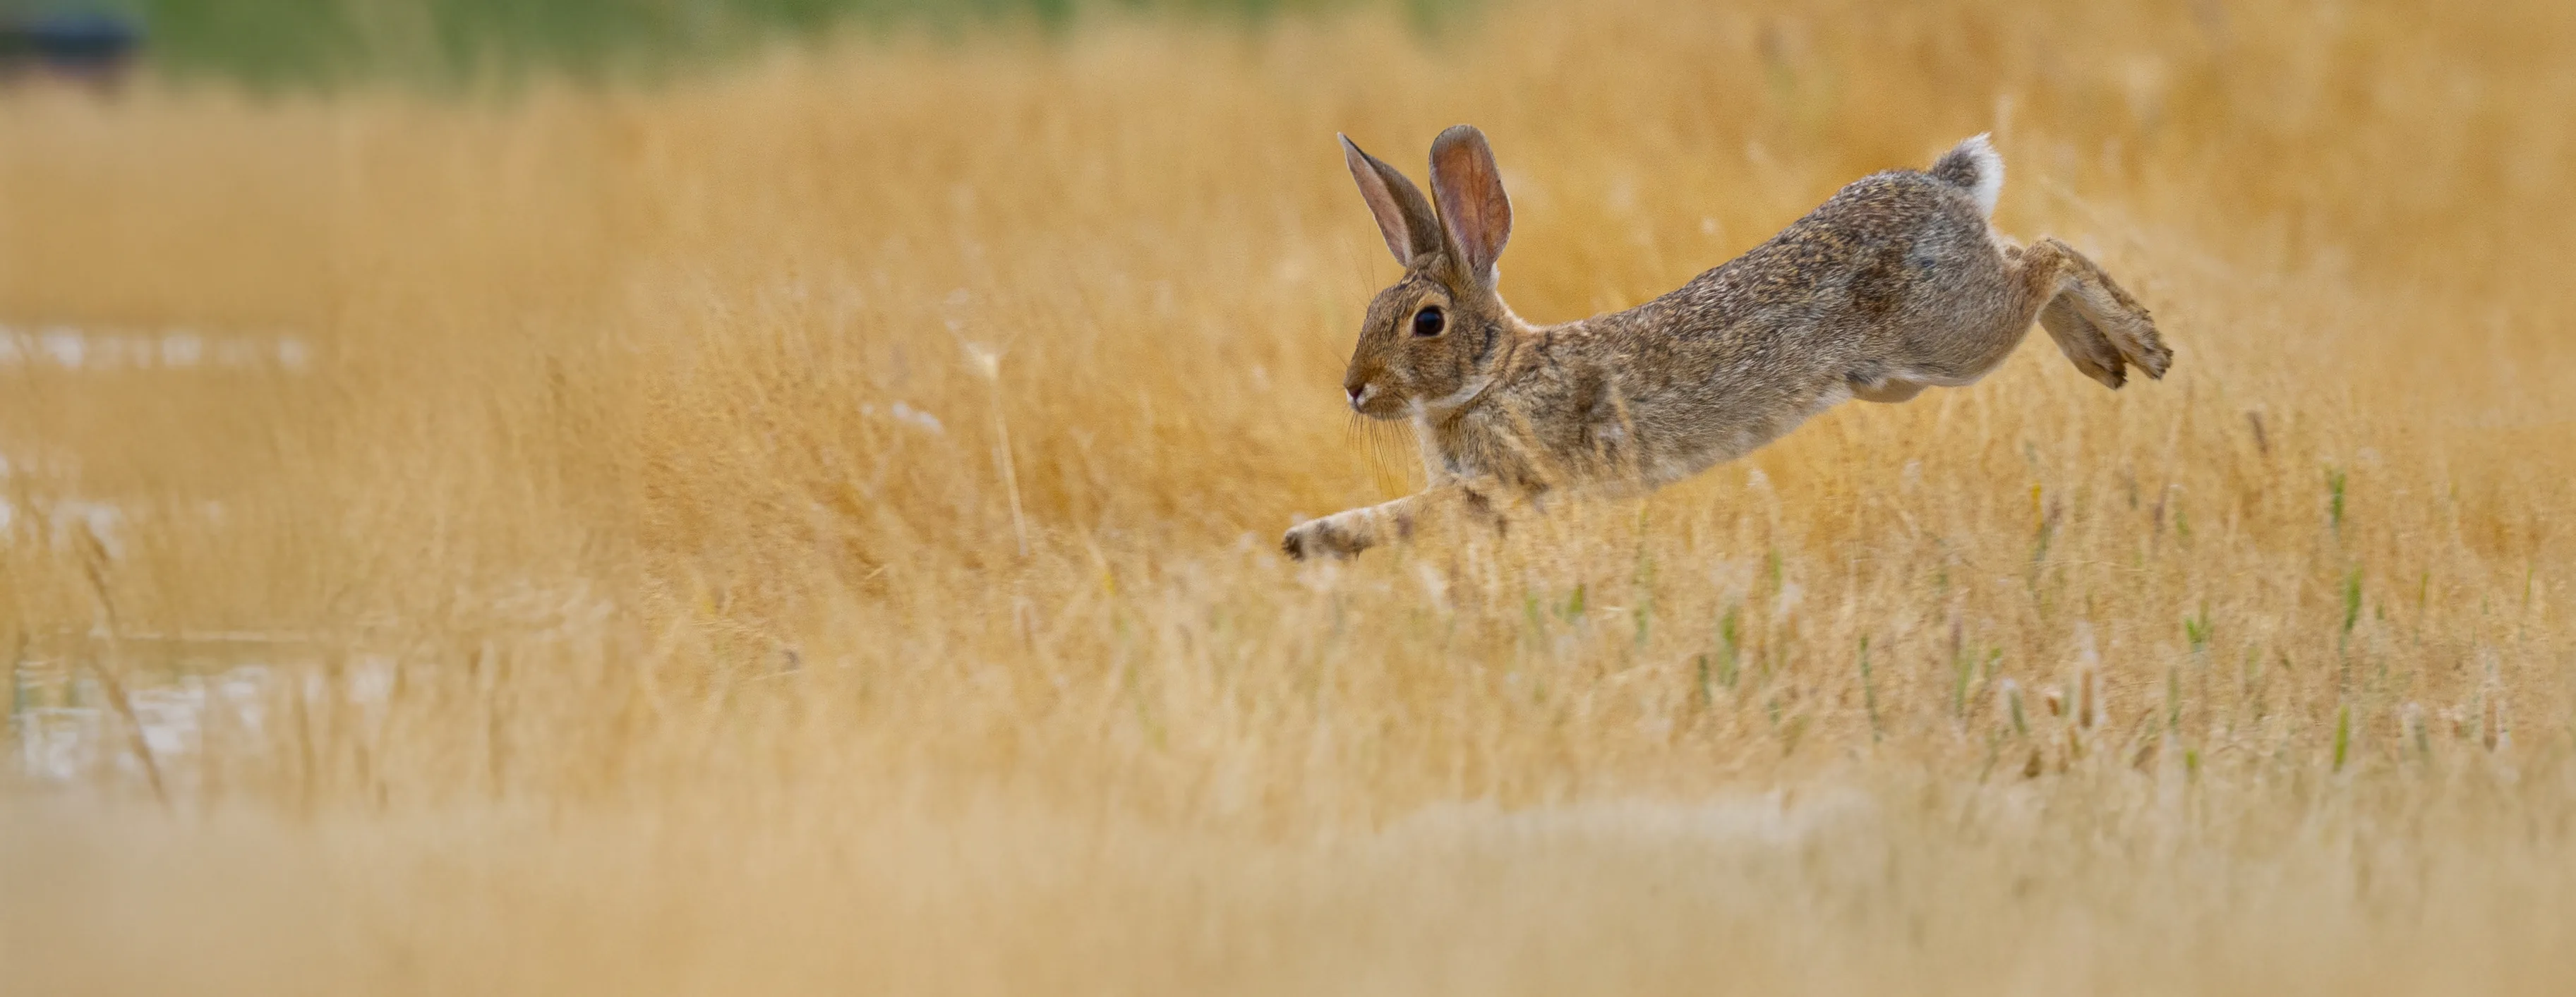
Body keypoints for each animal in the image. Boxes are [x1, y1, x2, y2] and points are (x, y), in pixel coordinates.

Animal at [1282, 126, 2169, 560]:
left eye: (1426, 321)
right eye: (1372, 307)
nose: (1354, 387)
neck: (1495, 372)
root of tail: (1943, 189)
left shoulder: (1501, 482)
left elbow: (1413, 512)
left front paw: (1312, 541)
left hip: (1952, 336)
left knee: (2048, 257)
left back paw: (2137, 347)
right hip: (1906, 369)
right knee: (2027, 254)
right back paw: (2110, 356)